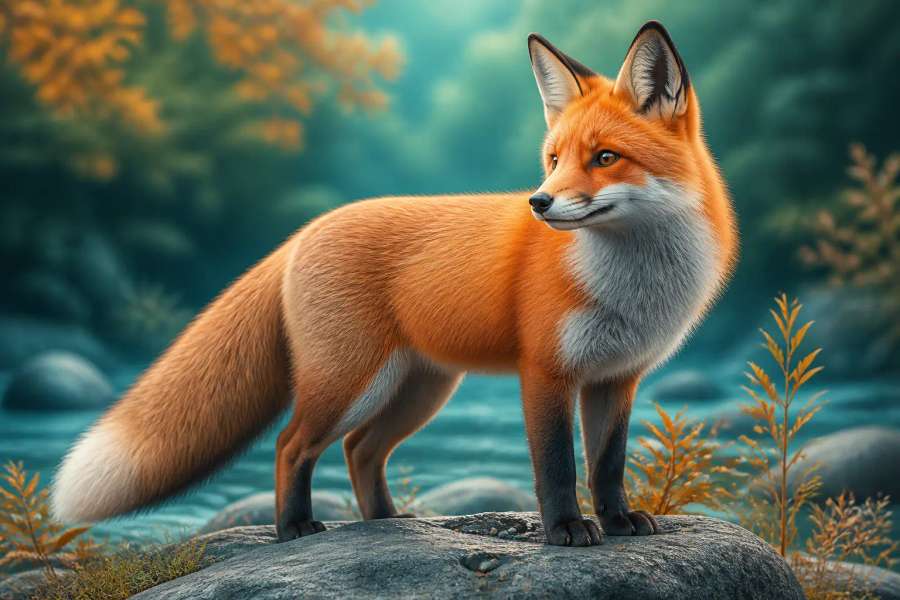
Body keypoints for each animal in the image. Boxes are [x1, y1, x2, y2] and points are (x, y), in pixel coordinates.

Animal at [52, 21, 736, 547]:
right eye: (553, 159)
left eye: (604, 158)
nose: (540, 203)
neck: (633, 285)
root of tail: (306, 231)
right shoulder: (546, 371)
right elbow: (557, 467)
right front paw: (566, 531)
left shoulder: (617, 378)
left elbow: (608, 465)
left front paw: (618, 523)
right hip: (351, 381)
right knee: (291, 444)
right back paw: (294, 529)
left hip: (417, 389)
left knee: (360, 450)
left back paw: (384, 523)